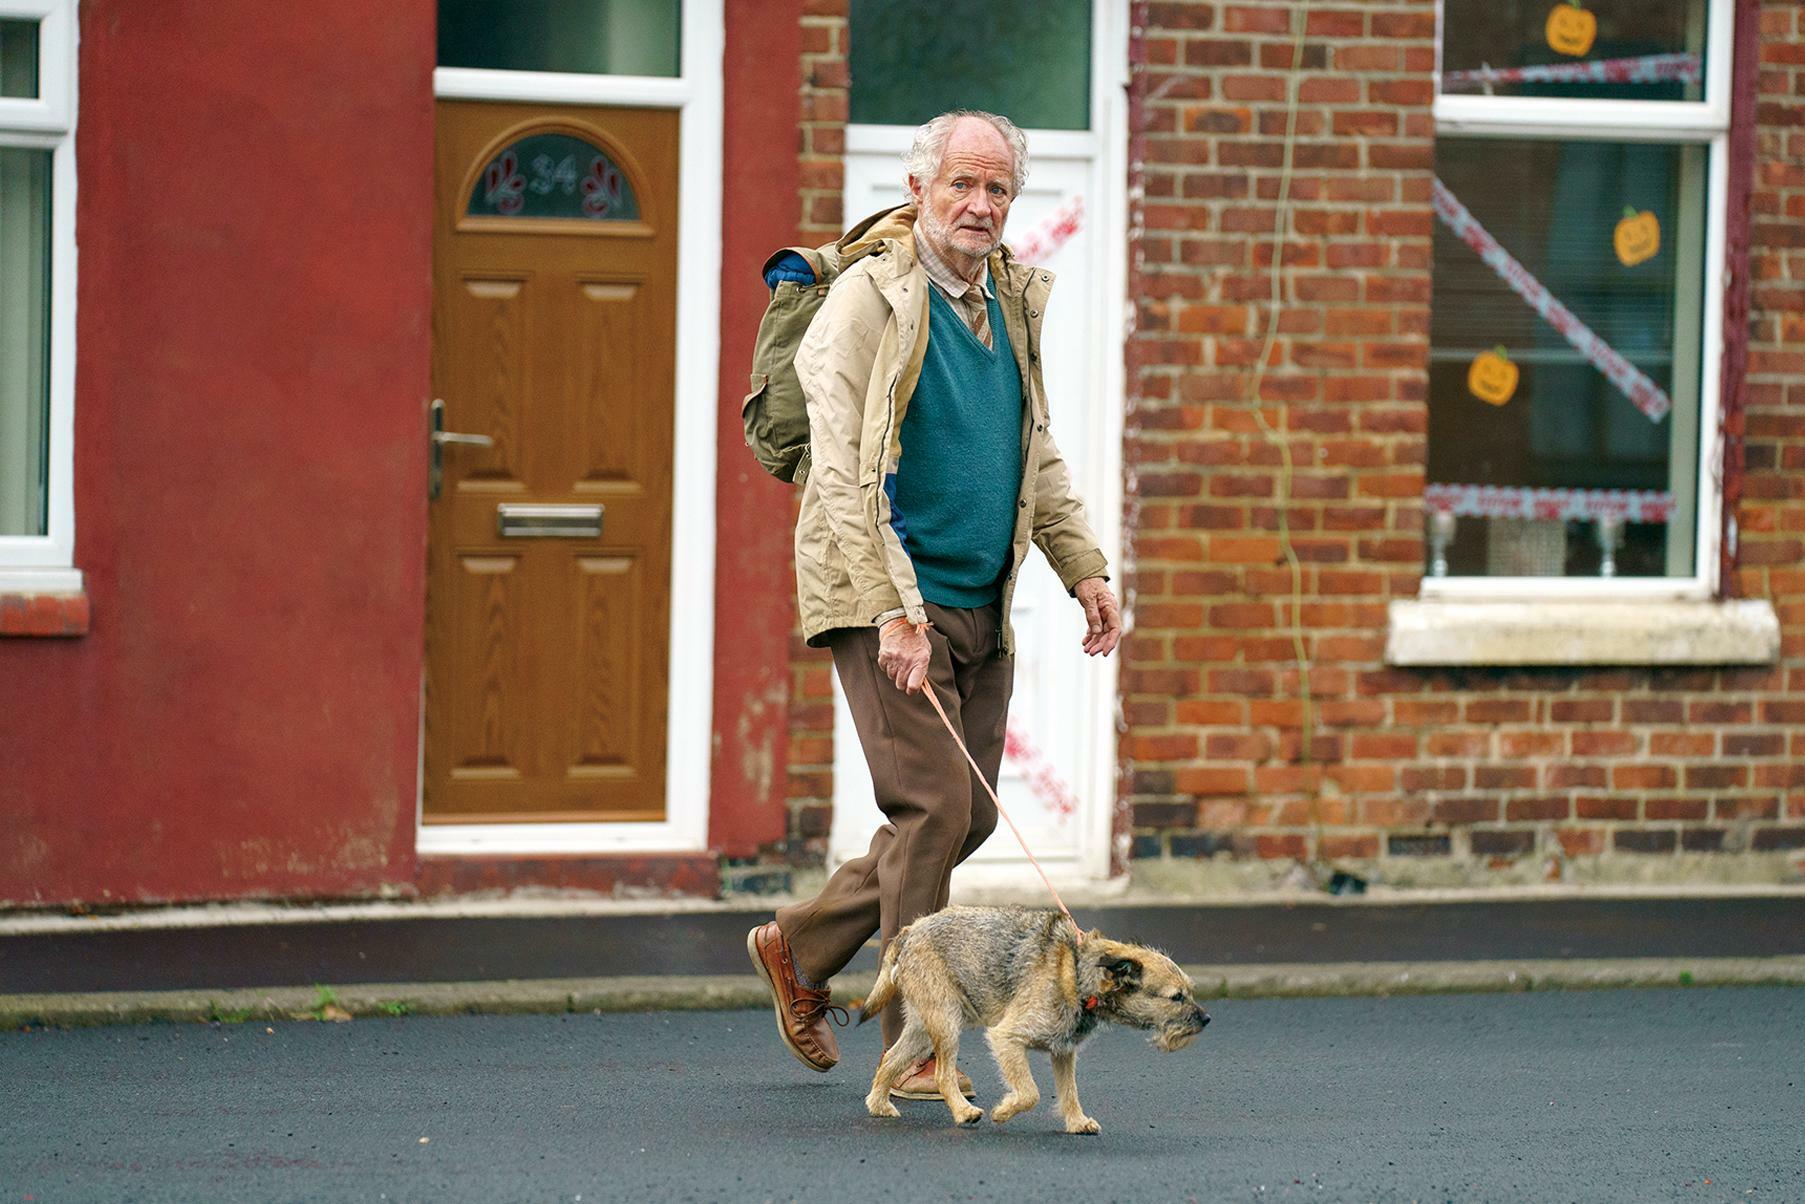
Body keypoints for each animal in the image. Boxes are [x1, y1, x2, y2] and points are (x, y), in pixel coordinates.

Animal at [859, 909, 1212, 1133]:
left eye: (1189, 991)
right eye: (1176, 997)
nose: (1207, 1018)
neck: (1077, 972)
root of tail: (908, 931)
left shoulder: (1063, 1051)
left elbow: (1070, 1091)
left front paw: (1076, 1122)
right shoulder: (1007, 1038)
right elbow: (1030, 1092)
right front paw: (1004, 1111)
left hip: (923, 1029)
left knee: (890, 1060)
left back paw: (878, 1104)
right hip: (946, 1024)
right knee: (943, 1074)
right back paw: (963, 1112)